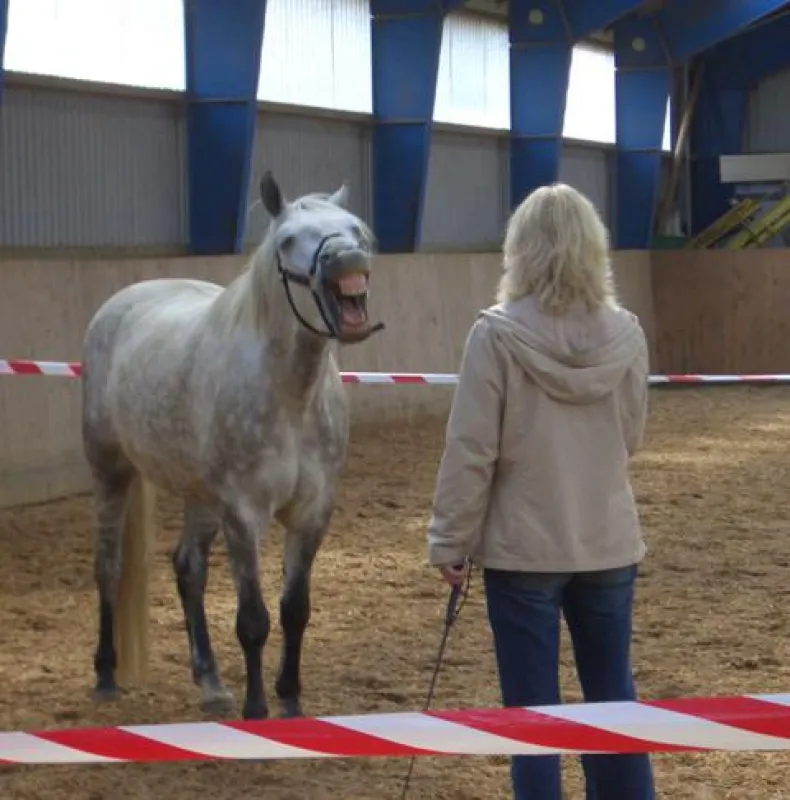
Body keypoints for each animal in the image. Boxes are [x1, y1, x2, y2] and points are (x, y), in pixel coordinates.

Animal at [80, 171, 383, 720]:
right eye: (288, 240)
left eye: (355, 229)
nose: (348, 260)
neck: (292, 396)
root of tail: (122, 302)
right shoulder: (243, 514)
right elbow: (253, 620)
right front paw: (257, 708)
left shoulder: (311, 514)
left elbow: (294, 610)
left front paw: (290, 698)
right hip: (111, 471)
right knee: (108, 566)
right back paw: (107, 674)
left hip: (201, 497)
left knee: (188, 569)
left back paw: (211, 682)